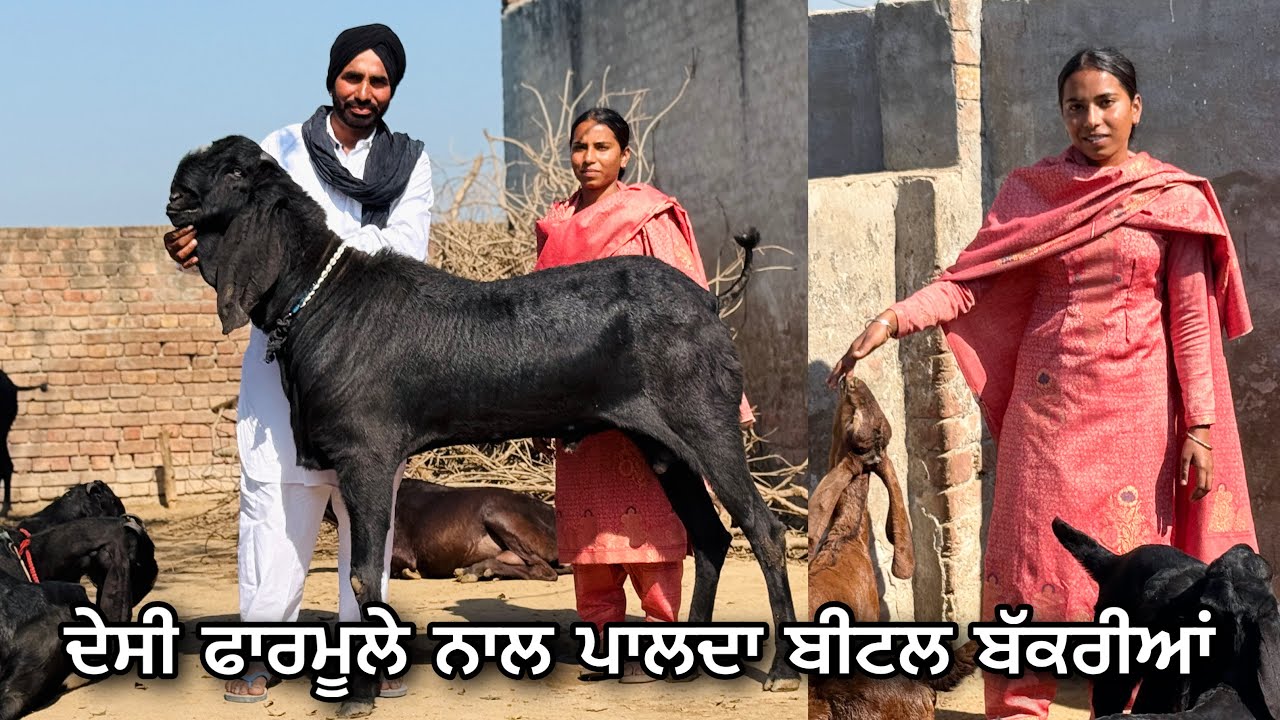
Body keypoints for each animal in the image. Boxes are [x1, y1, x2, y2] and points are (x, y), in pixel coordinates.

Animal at [166, 135, 799, 712]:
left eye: (234, 170)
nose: (176, 192)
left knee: (763, 529)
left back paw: (783, 671)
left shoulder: (366, 457)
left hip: (706, 424)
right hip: (663, 445)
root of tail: (709, 301)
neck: (325, 300)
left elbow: (363, 576)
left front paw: (360, 695)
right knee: (711, 535)